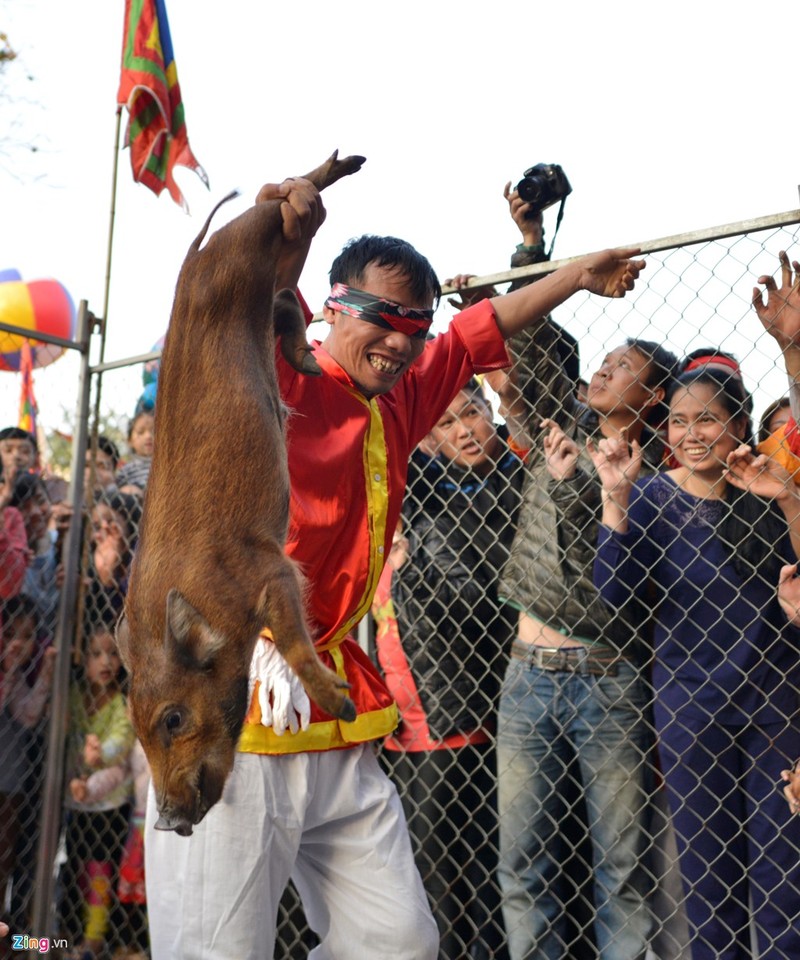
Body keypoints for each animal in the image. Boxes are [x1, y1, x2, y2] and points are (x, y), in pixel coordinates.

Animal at [116, 150, 362, 832]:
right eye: (137, 731)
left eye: (174, 719)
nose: (168, 821)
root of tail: (196, 254)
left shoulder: (271, 568)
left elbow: (297, 636)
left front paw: (343, 706)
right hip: (257, 282)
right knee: (282, 298)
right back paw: (305, 361)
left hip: (252, 247)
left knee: (284, 219)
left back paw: (347, 163)